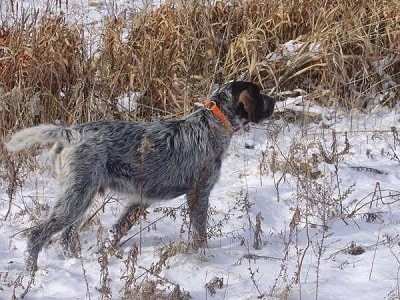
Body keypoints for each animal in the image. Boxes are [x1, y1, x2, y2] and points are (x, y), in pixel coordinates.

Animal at [4, 80, 274, 272]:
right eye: (259, 93)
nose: (273, 101)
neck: (212, 123)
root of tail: (70, 133)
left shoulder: (141, 198)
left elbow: (117, 229)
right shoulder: (199, 193)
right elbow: (200, 233)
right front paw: (204, 256)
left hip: (81, 195)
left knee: (66, 236)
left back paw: (74, 261)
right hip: (75, 198)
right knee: (37, 234)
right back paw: (31, 271)